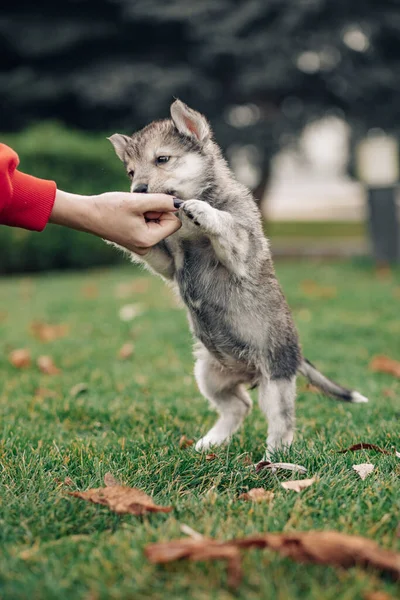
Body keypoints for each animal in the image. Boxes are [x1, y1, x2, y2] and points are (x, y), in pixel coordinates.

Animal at [108, 101, 368, 458]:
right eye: (131, 173)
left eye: (162, 159)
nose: (136, 192)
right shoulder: (168, 262)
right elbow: (151, 249)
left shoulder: (242, 247)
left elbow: (226, 223)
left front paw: (201, 210)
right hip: (209, 376)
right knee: (239, 406)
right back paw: (209, 443)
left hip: (274, 383)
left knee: (281, 425)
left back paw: (272, 458)